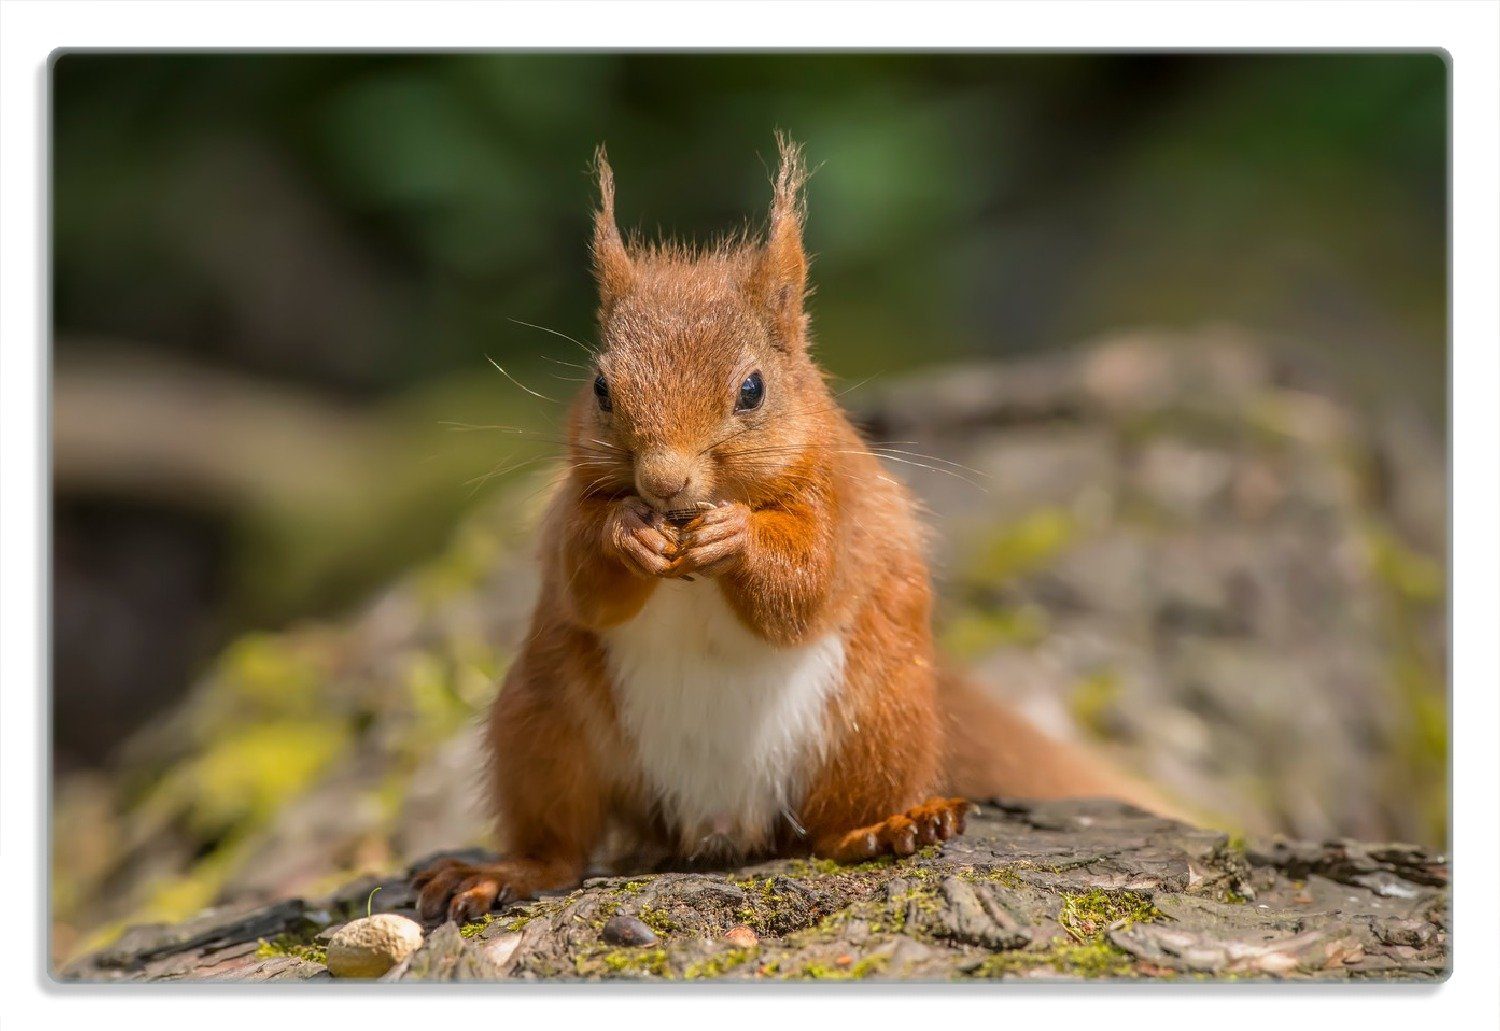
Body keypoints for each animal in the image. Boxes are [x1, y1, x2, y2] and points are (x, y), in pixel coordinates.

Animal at [414, 135, 1170, 930]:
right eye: (600, 389)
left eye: (753, 389)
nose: (665, 483)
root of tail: (717, 825)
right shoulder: (568, 511)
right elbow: (584, 579)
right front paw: (628, 533)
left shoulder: (839, 502)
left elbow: (807, 582)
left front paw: (736, 537)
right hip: (543, 724)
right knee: (560, 843)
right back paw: (504, 871)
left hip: (877, 720)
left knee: (833, 828)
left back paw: (890, 826)